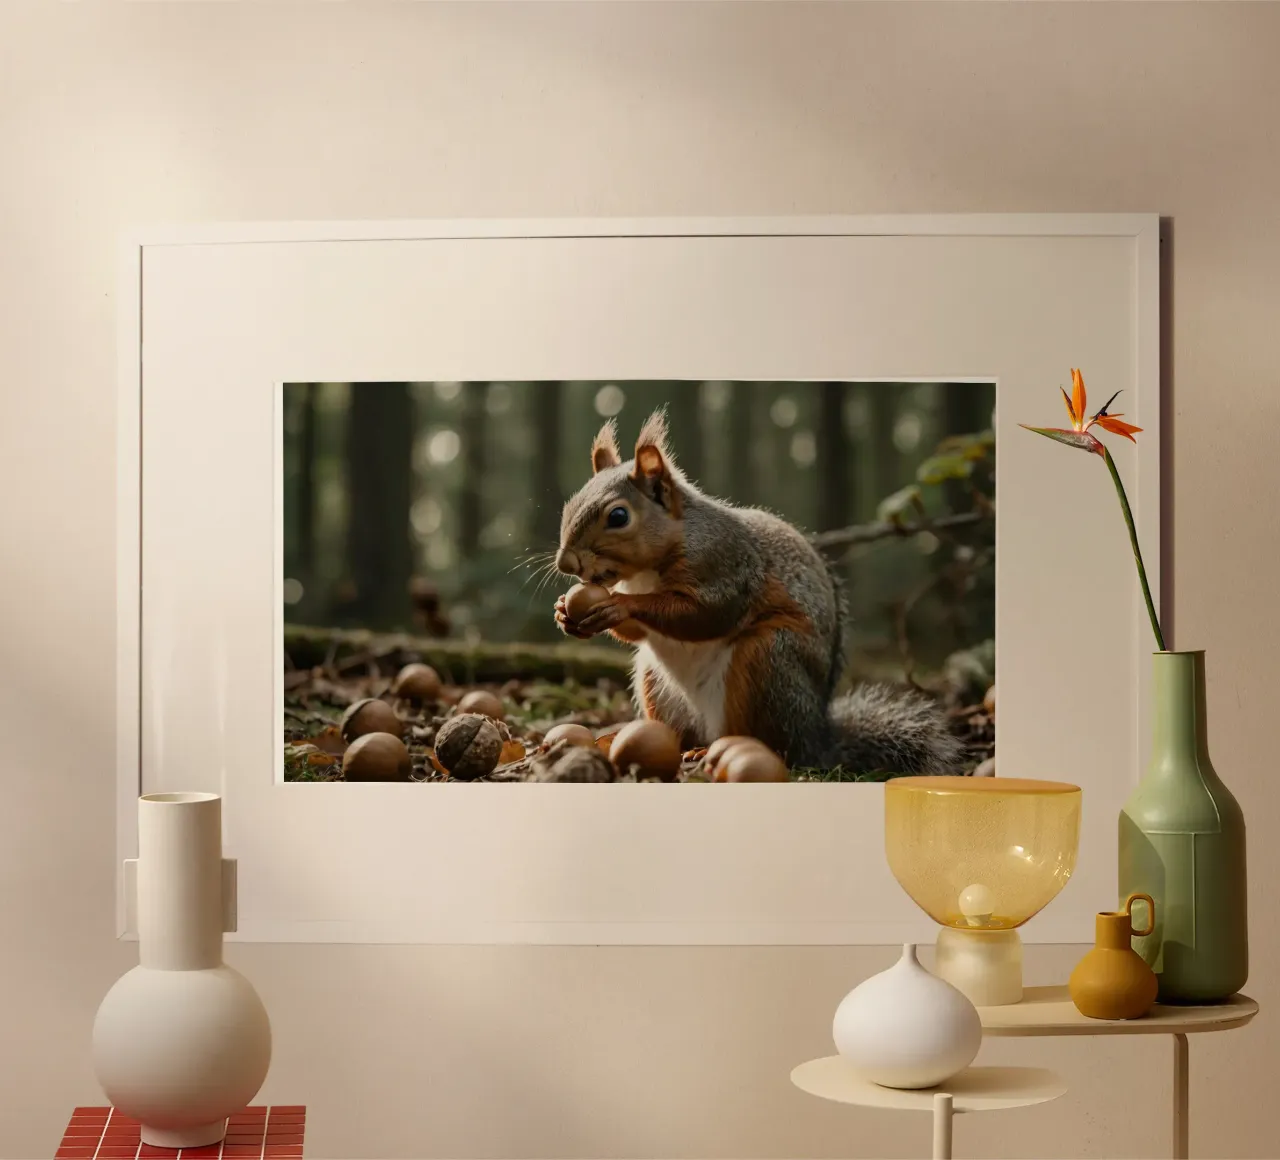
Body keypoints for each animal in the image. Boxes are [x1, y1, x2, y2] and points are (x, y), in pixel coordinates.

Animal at [552, 408, 965, 775]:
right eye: (570, 504)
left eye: (618, 517)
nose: (566, 564)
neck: (645, 572)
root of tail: (816, 739)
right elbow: (638, 634)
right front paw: (564, 612)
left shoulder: (727, 566)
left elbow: (703, 614)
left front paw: (620, 605)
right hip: (657, 683)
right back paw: (670, 746)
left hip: (767, 662)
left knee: (770, 742)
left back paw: (718, 752)